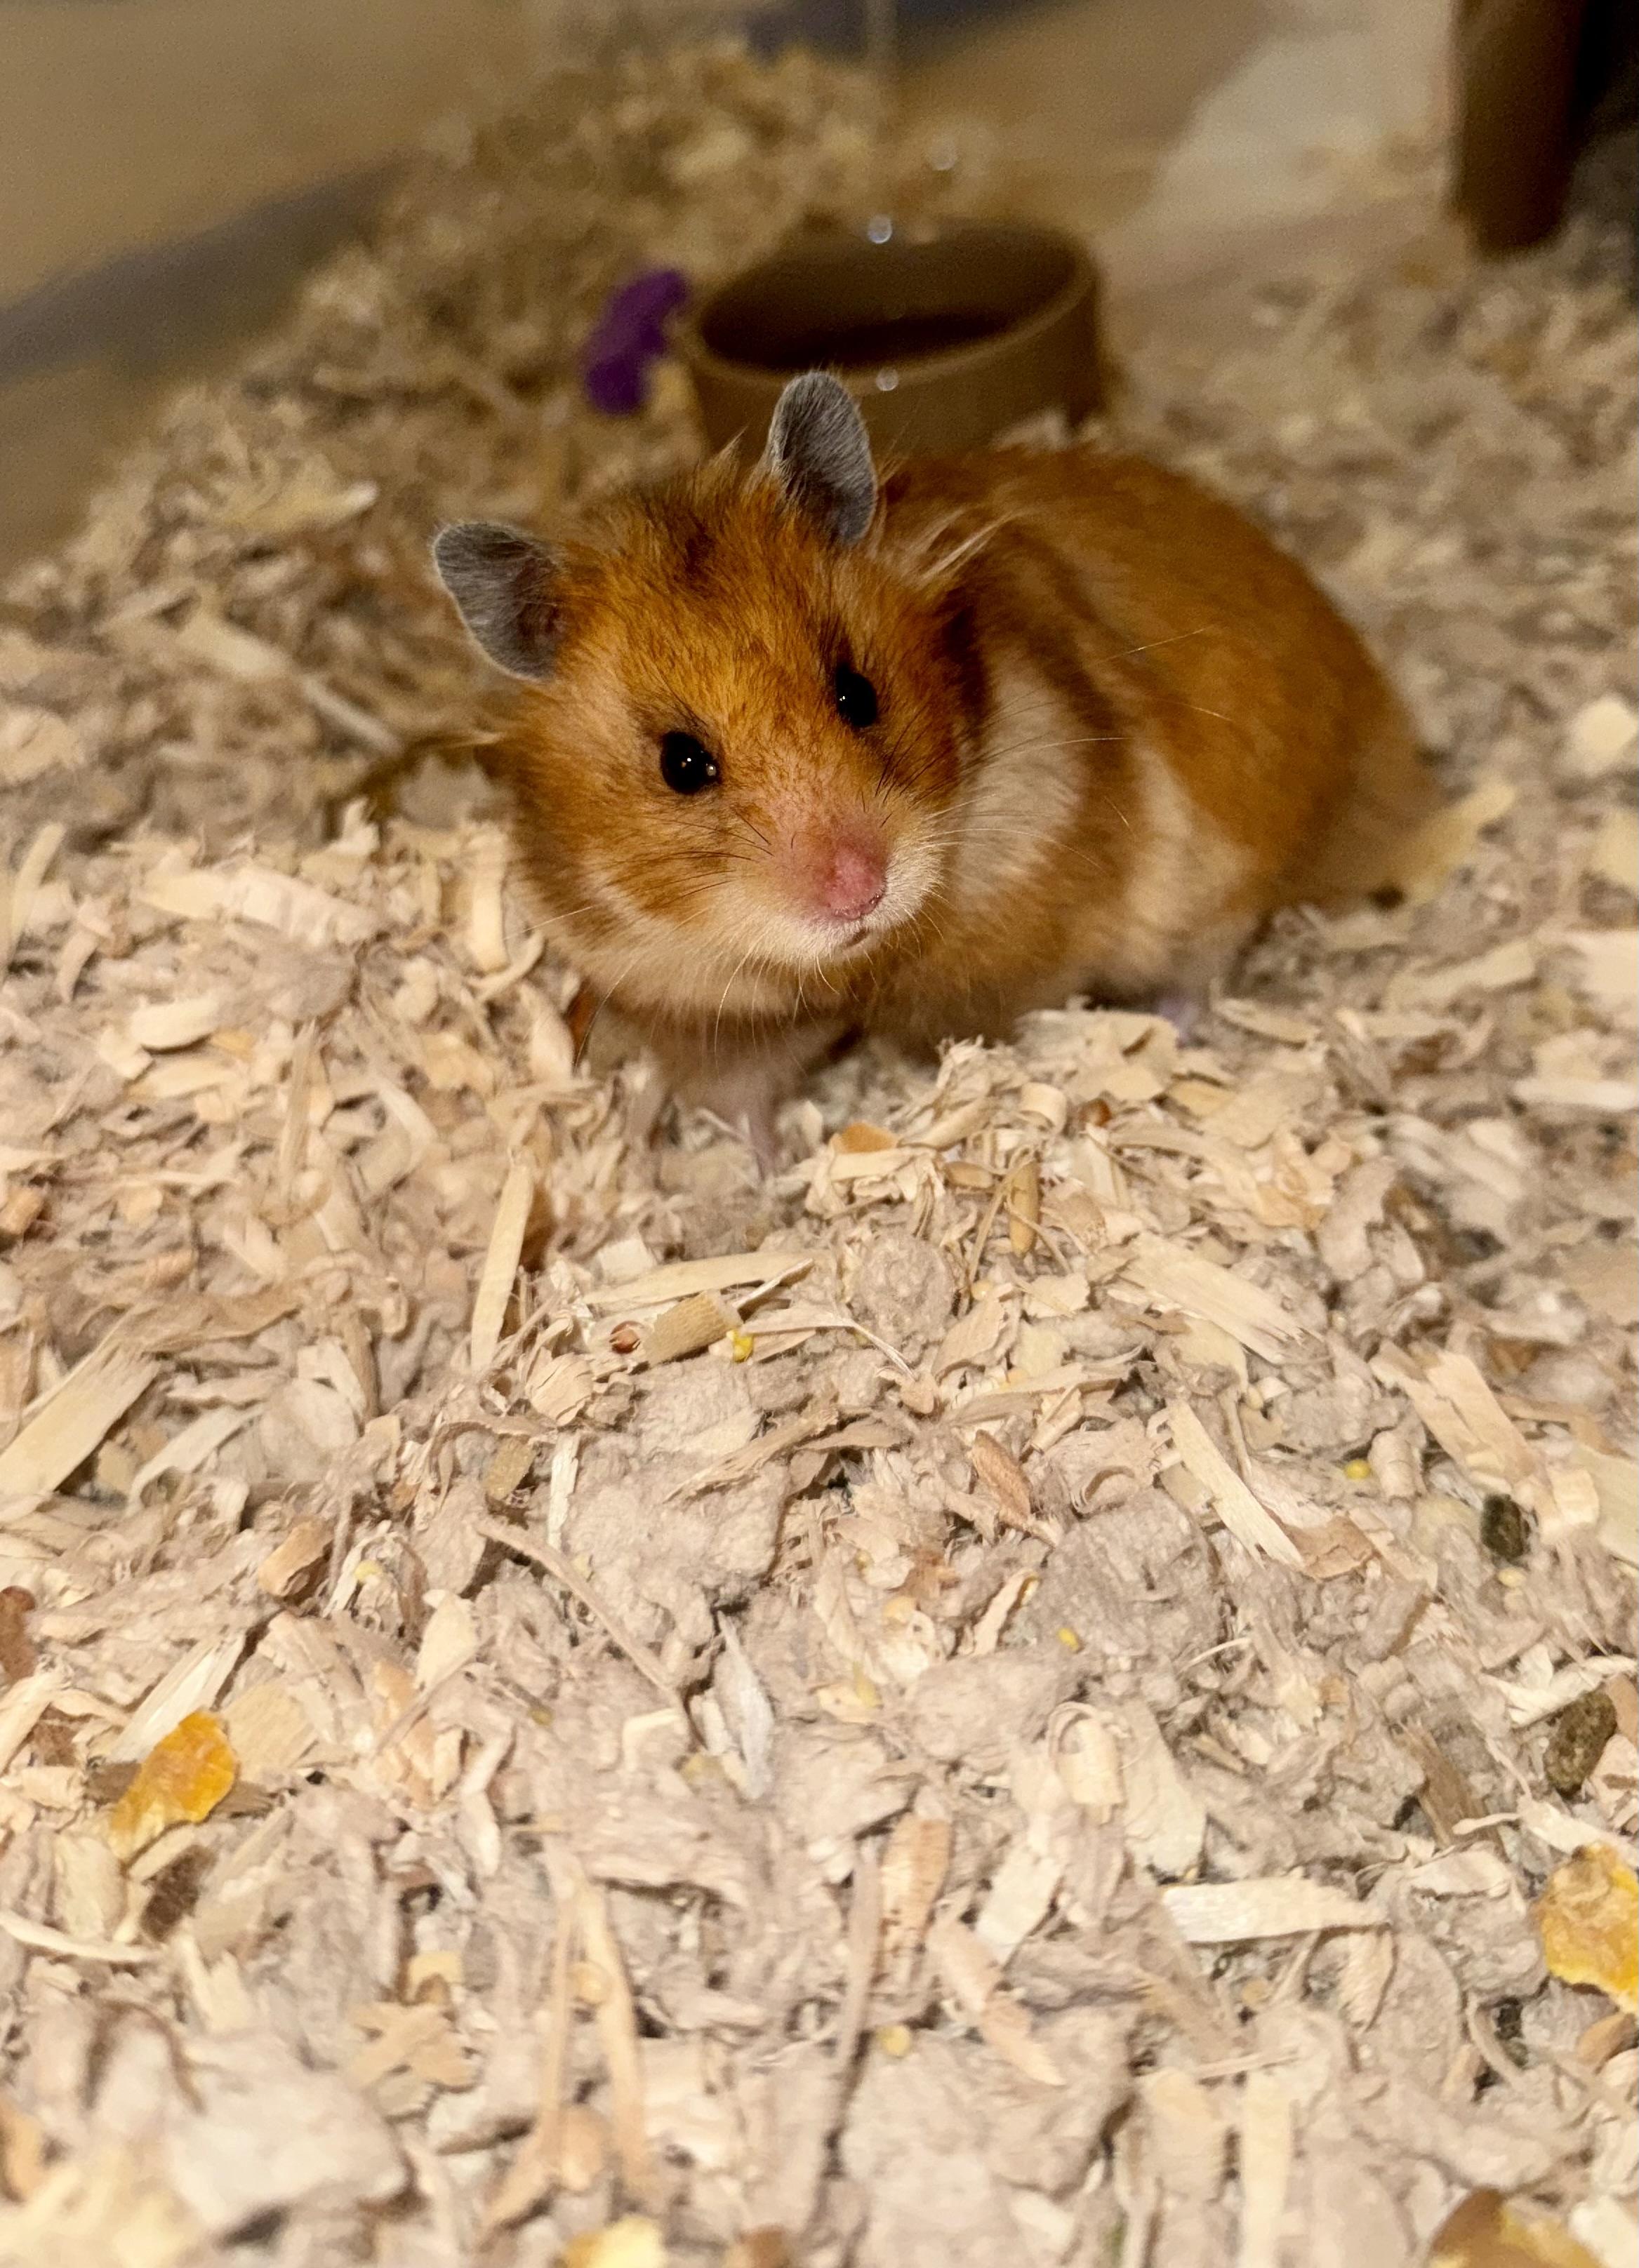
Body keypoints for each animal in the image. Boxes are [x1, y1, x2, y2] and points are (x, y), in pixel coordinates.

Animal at [434, 371, 1433, 1159]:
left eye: (857, 694)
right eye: (681, 763)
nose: (858, 889)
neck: (846, 966)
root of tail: (1376, 715)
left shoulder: (1021, 945)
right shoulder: (691, 1001)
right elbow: (740, 1099)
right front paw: (765, 1178)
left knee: (1202, 965)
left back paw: (1170, 1029)